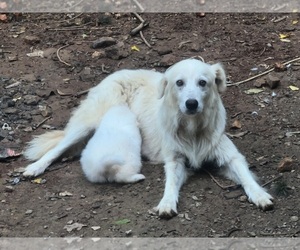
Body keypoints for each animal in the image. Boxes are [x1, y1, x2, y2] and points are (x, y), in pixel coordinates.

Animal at [24, 58, 274, 217]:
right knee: (57, 147)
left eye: (203, 82)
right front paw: (166, 203)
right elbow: (170, 183)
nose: (191, 104)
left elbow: (246, 177)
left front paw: (260, 195)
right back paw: (35, 168)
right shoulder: (174, 160)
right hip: (88, 123)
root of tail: (116, 73)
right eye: (179, 83)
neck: (193, 129)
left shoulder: (229, 156)